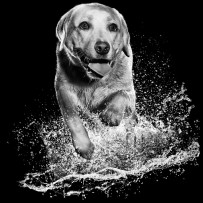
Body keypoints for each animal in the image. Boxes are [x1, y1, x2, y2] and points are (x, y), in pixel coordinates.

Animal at [54, 2, 137, 159]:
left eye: (113, 27)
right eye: (84, 25)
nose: (103, 47)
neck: (94, 81)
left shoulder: (130, 93)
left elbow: (121, 93)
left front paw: (112, 114)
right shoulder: (63, 90)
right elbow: (73, 118)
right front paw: (84, 146)